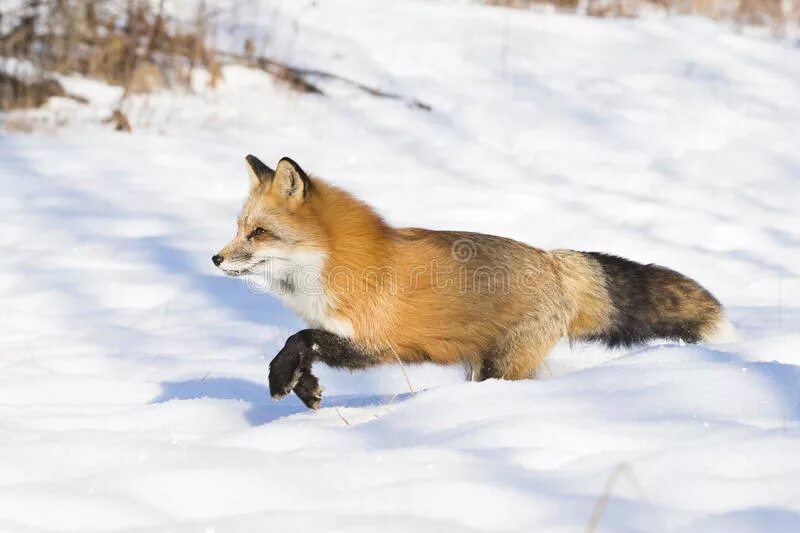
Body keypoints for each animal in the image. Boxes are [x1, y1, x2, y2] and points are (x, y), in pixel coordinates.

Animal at [211, 154, 732, 408]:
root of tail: (552, 260)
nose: (215, 259)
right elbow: (303, 346)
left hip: (504, 365)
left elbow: (300, 338)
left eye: (257, 233)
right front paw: (305, 389)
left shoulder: (376, 342)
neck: (333, 265)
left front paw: (282, 377)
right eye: (239, 227)